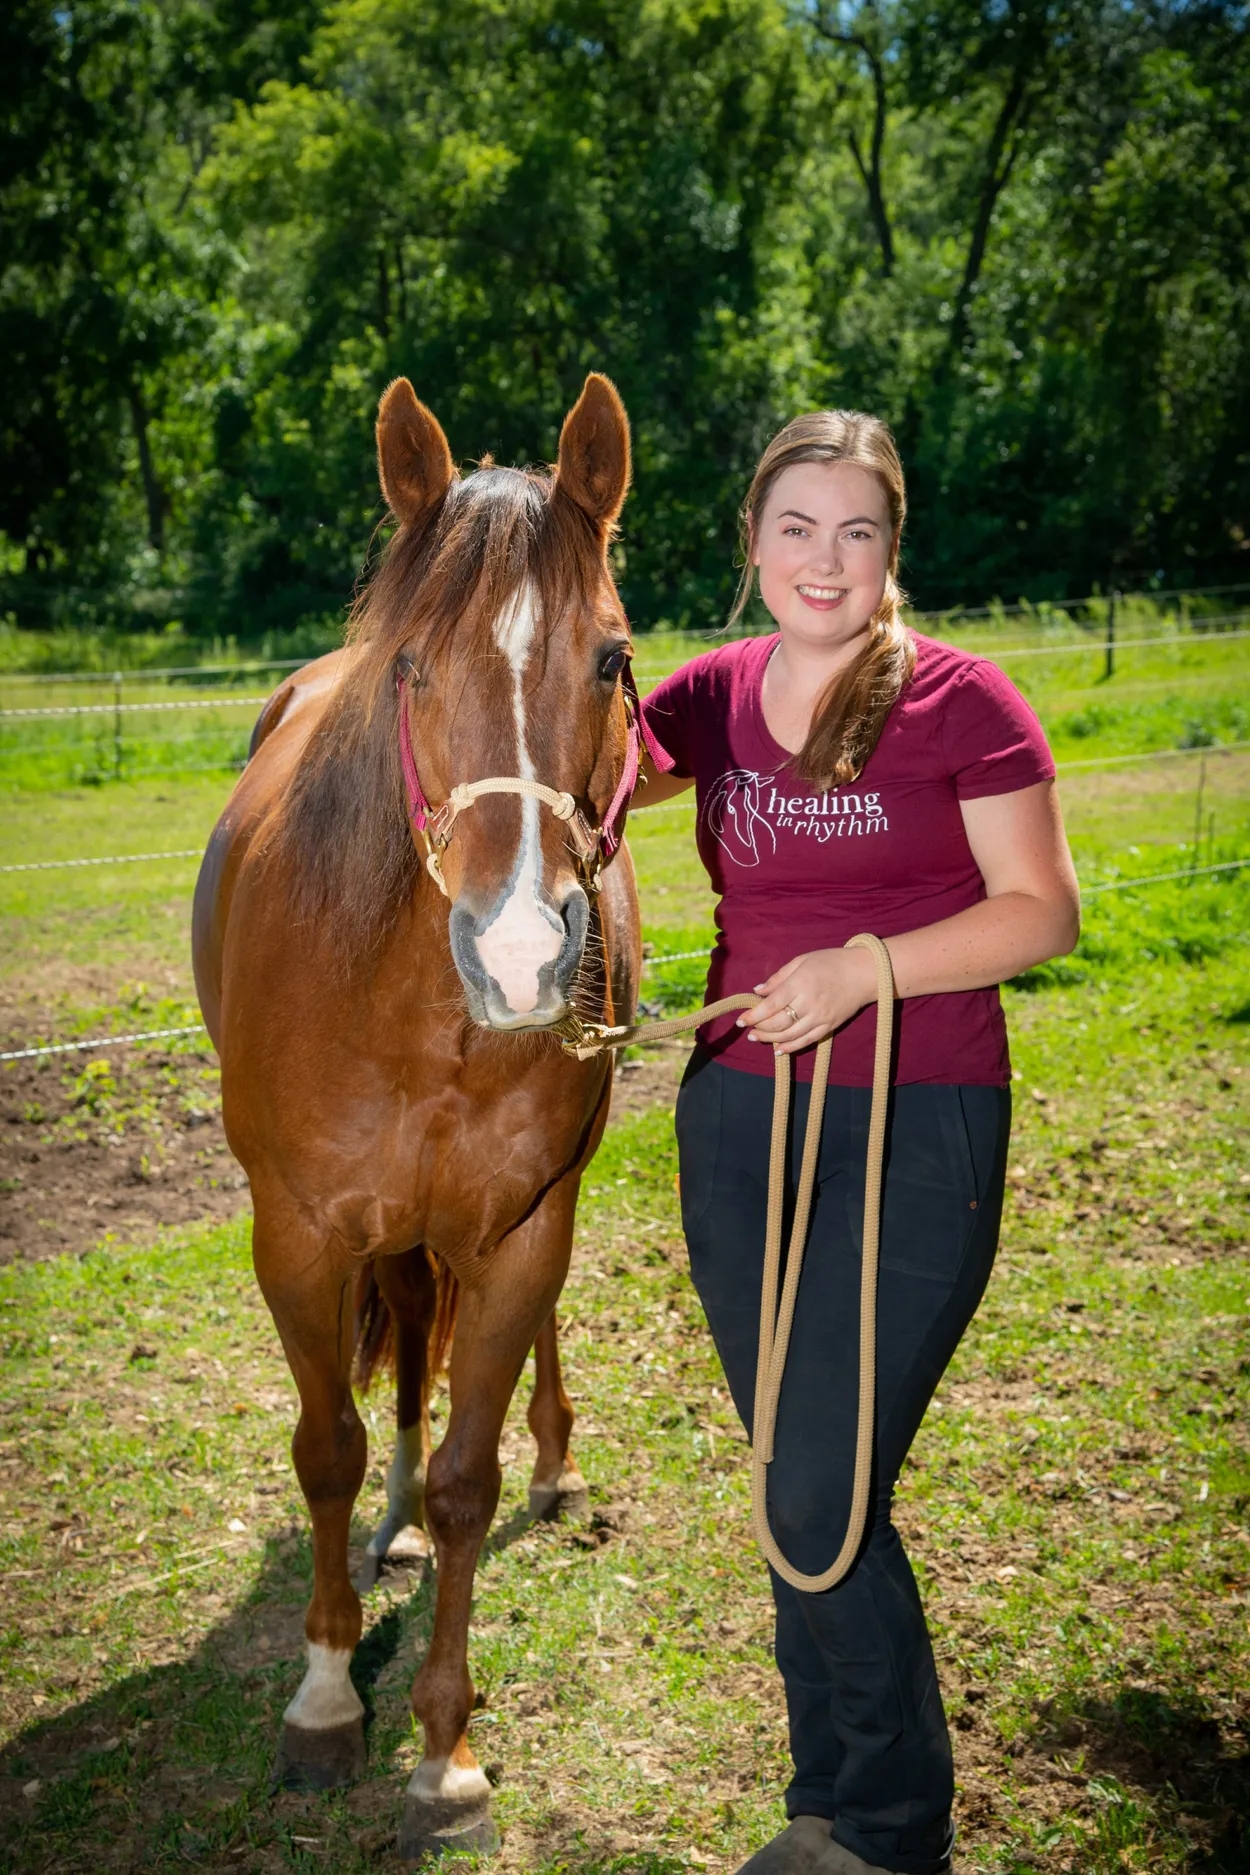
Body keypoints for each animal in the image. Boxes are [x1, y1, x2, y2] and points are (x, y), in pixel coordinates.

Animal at [195, 376, 644, 1860]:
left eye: (612, 661)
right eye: (411, 667)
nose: (516, 955)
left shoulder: (516, 1231)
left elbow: (467, 1480)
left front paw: (442, 1752)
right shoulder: (298, 1233)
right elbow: (325, 1446)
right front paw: (328, 1694)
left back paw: (554, 1468)